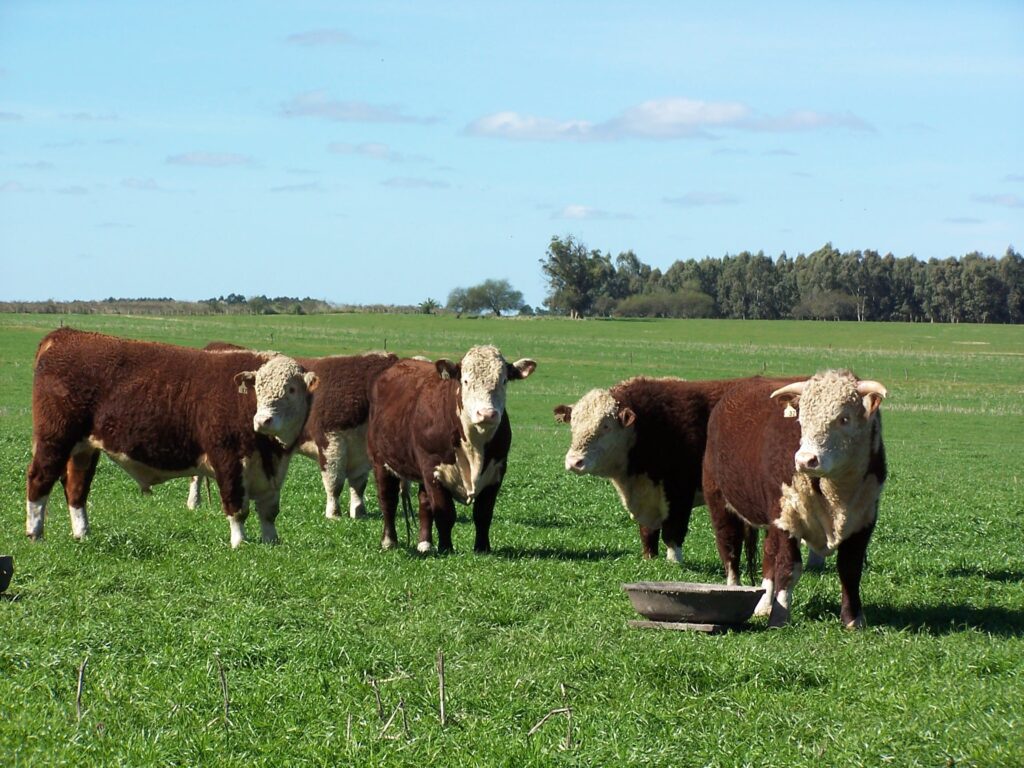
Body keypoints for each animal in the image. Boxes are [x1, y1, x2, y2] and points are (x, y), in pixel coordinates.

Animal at [27, 327, 315, 548]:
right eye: (258, 388)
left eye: (291, 389)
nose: (263, 420)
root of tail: (64, 335)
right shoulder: (228, 460)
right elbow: (236, 508)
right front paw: (239, 543)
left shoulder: (271, 472)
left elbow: (269, 512)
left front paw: (271, 542)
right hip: (54, 437)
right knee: (40, 478)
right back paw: (35, 534)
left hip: (83, 447)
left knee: (76, 486)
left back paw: (82, 534)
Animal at [188, 344, 399, 520]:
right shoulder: (331, 442)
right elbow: (334, 481)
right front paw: (334, 514)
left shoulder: (361, 452)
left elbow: (358, 484)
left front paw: (359, 512)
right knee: (195, 476)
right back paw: (194, 502)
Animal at [370, 348, 544, 552]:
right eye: (466, 381)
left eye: (504, 380)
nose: (487, 414)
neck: (474, 448)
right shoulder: (432, 468)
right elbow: (445, 513)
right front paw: (446, 548)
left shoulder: (497, 471)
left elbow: (483, 513)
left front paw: (482, 548)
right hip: (380, 461)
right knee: (387, 499)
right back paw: (389, 541)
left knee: (424, 502)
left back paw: (425, 543)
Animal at [552, 378, 782, 565]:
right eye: (573, 424)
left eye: (606, 426)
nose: (574, 462)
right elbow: (648, 532)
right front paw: (649, 557)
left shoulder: (680, 492)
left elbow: (673, 531)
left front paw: (674, 562)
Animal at [704, 372, 888, 630]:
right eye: (801, 420)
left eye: (844, 418)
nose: (805, 459)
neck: (836, 493)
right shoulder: (788, 517)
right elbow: (789, 567)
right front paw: (780, 616)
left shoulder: (864, 519)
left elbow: (850, 568)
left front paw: (853, 619)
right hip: (720, 502)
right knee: (729, 548)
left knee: (768, 555)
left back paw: (764, 604)